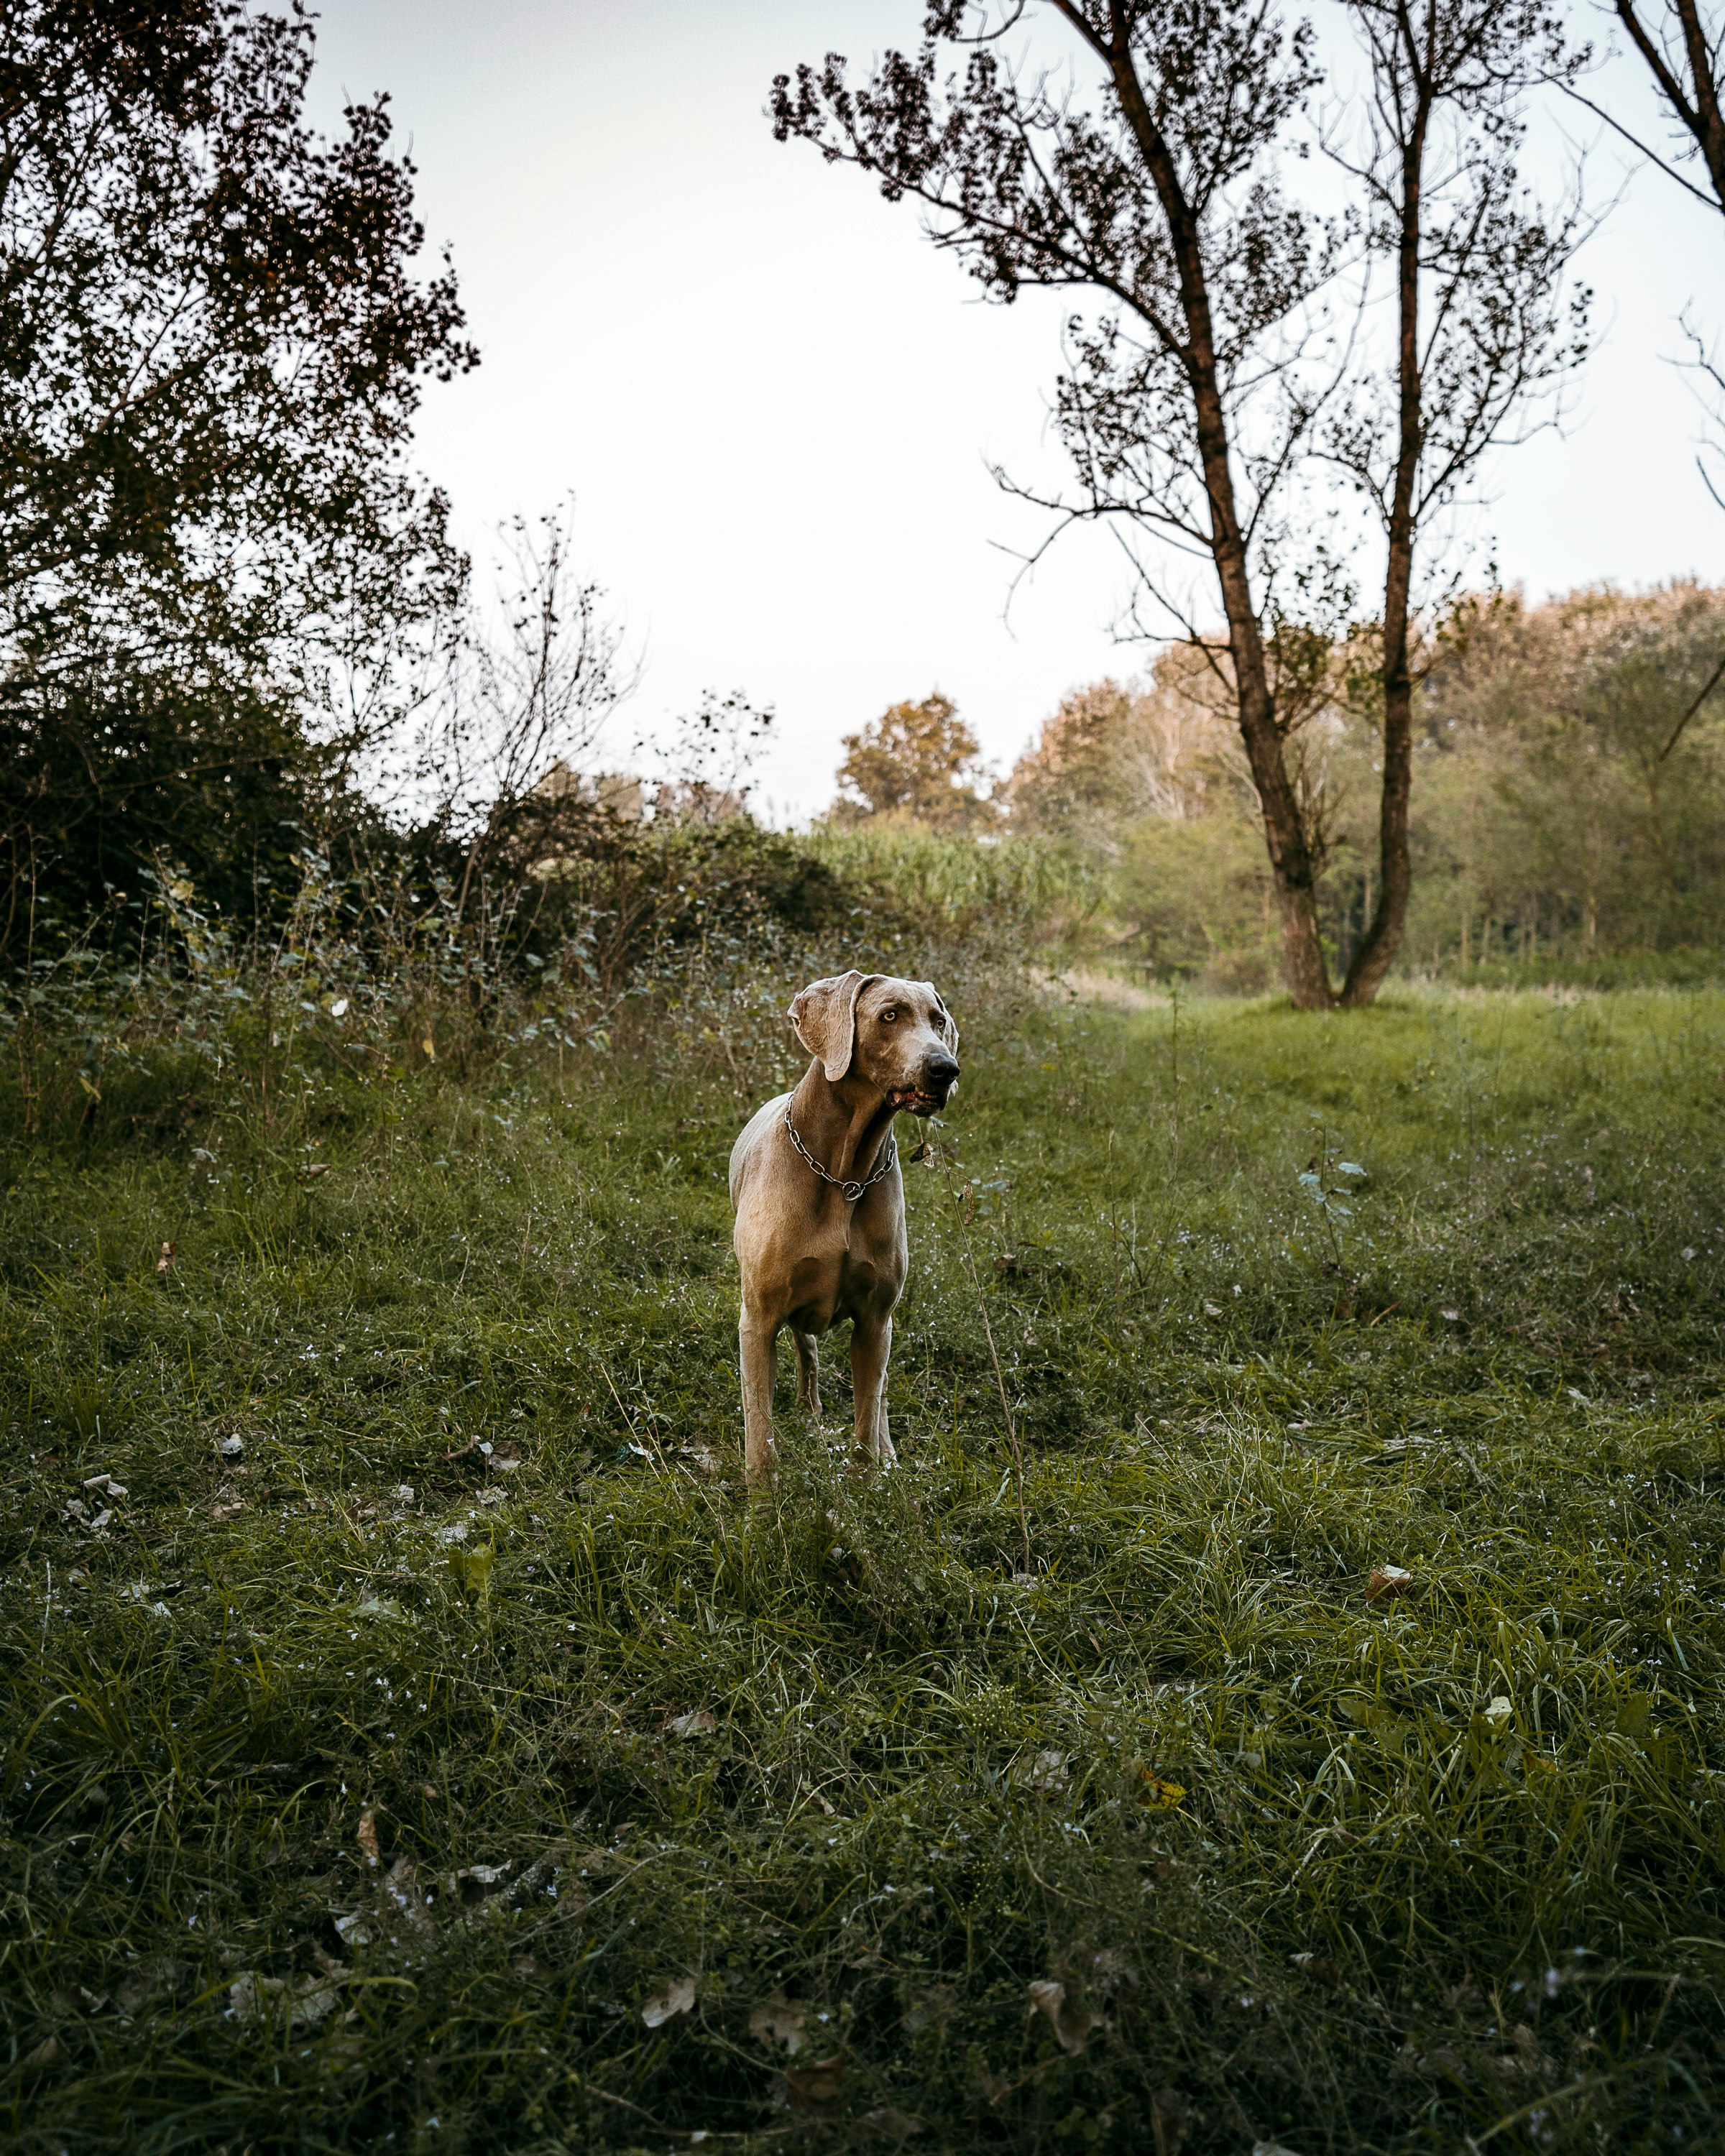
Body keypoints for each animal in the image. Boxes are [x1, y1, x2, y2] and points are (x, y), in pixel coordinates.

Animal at [724, 975, 962, 1483]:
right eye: (889, 1015)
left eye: (938, 1021)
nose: (945, 1068)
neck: (843, 1172)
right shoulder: (758, 1320)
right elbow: (760, 1431)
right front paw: (762, 1499)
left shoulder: (875, 1319)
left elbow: (867, 1417)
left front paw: (870, 1479)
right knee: (807, 1348)